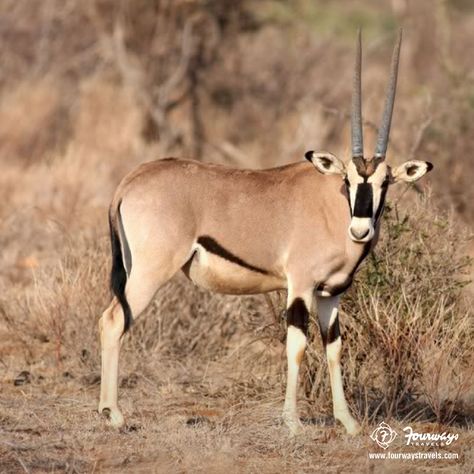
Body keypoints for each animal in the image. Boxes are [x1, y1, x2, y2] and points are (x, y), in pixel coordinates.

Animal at [99, 29, 434, 436]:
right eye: (348, 180)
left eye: (385, 182)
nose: (360, 229)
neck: (332, 207)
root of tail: (132, 179)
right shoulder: (300, 285)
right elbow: (297, 345)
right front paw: (292, 421)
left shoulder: (331, 294)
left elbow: (334, 348)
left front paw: (348, 422)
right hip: (150, 272)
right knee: (113, 321)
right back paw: (113, 413)